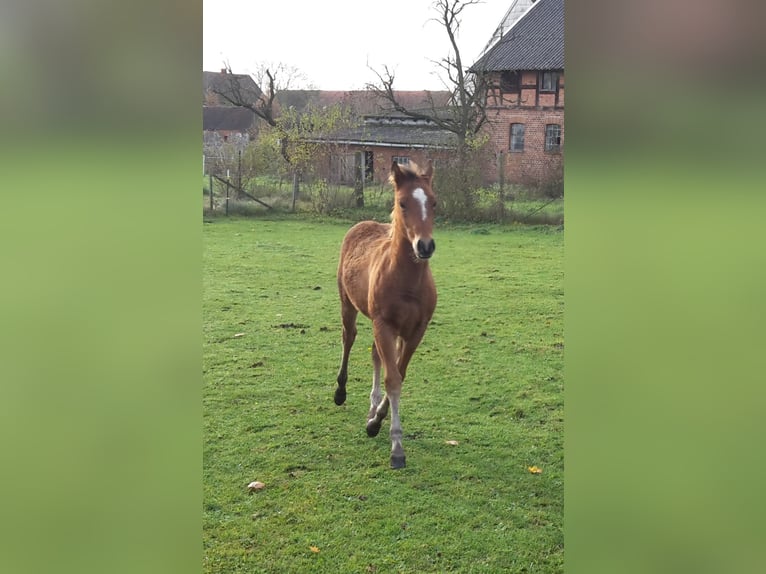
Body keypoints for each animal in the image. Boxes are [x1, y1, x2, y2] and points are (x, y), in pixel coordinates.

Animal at [334, 160, 438, 470]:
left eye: (434, 203)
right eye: (402, 203)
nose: (425, 246)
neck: (408, 282)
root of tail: (362, 224)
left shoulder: (415, 330)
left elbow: (399, 374)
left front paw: (375, 421)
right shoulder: (385, 325)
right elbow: (393, 379)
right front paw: (396, 447)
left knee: (374, 354)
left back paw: (371, 407)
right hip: (348, 304)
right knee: (349, 338)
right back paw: (340, 392)